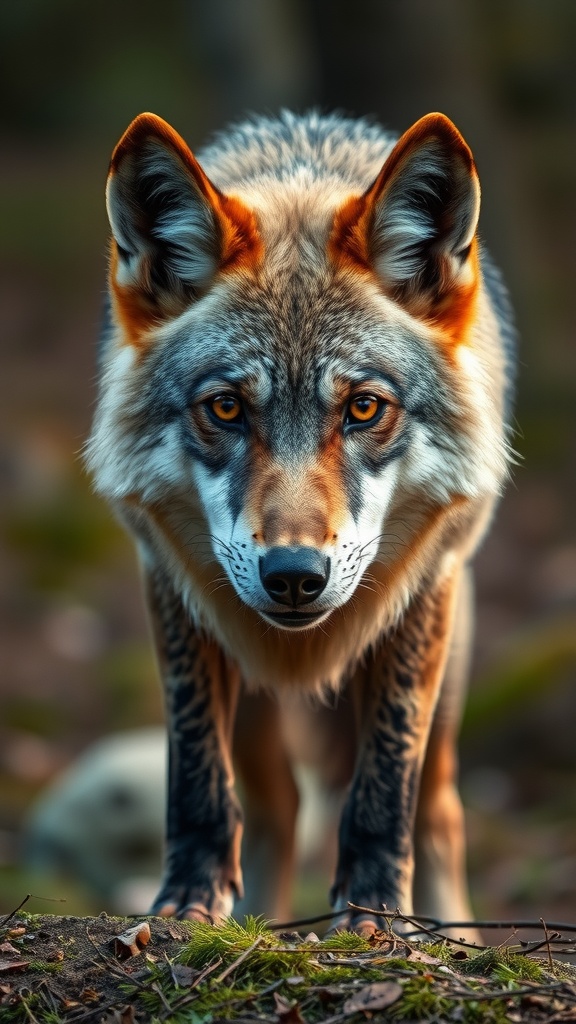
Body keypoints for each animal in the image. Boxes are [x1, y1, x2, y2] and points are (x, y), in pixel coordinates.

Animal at [86, 108, 516, 933]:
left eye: (364, 408)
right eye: (226, 408)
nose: (293, 576)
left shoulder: (422, 597)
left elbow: (385, 781)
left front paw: (376, 915)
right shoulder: (172, 589)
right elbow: (194, 773)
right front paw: (186, 904)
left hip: (449, 668)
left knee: (439, 813)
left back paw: (454, 932)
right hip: (252, 690)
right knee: (277, 808)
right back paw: (257, 922)